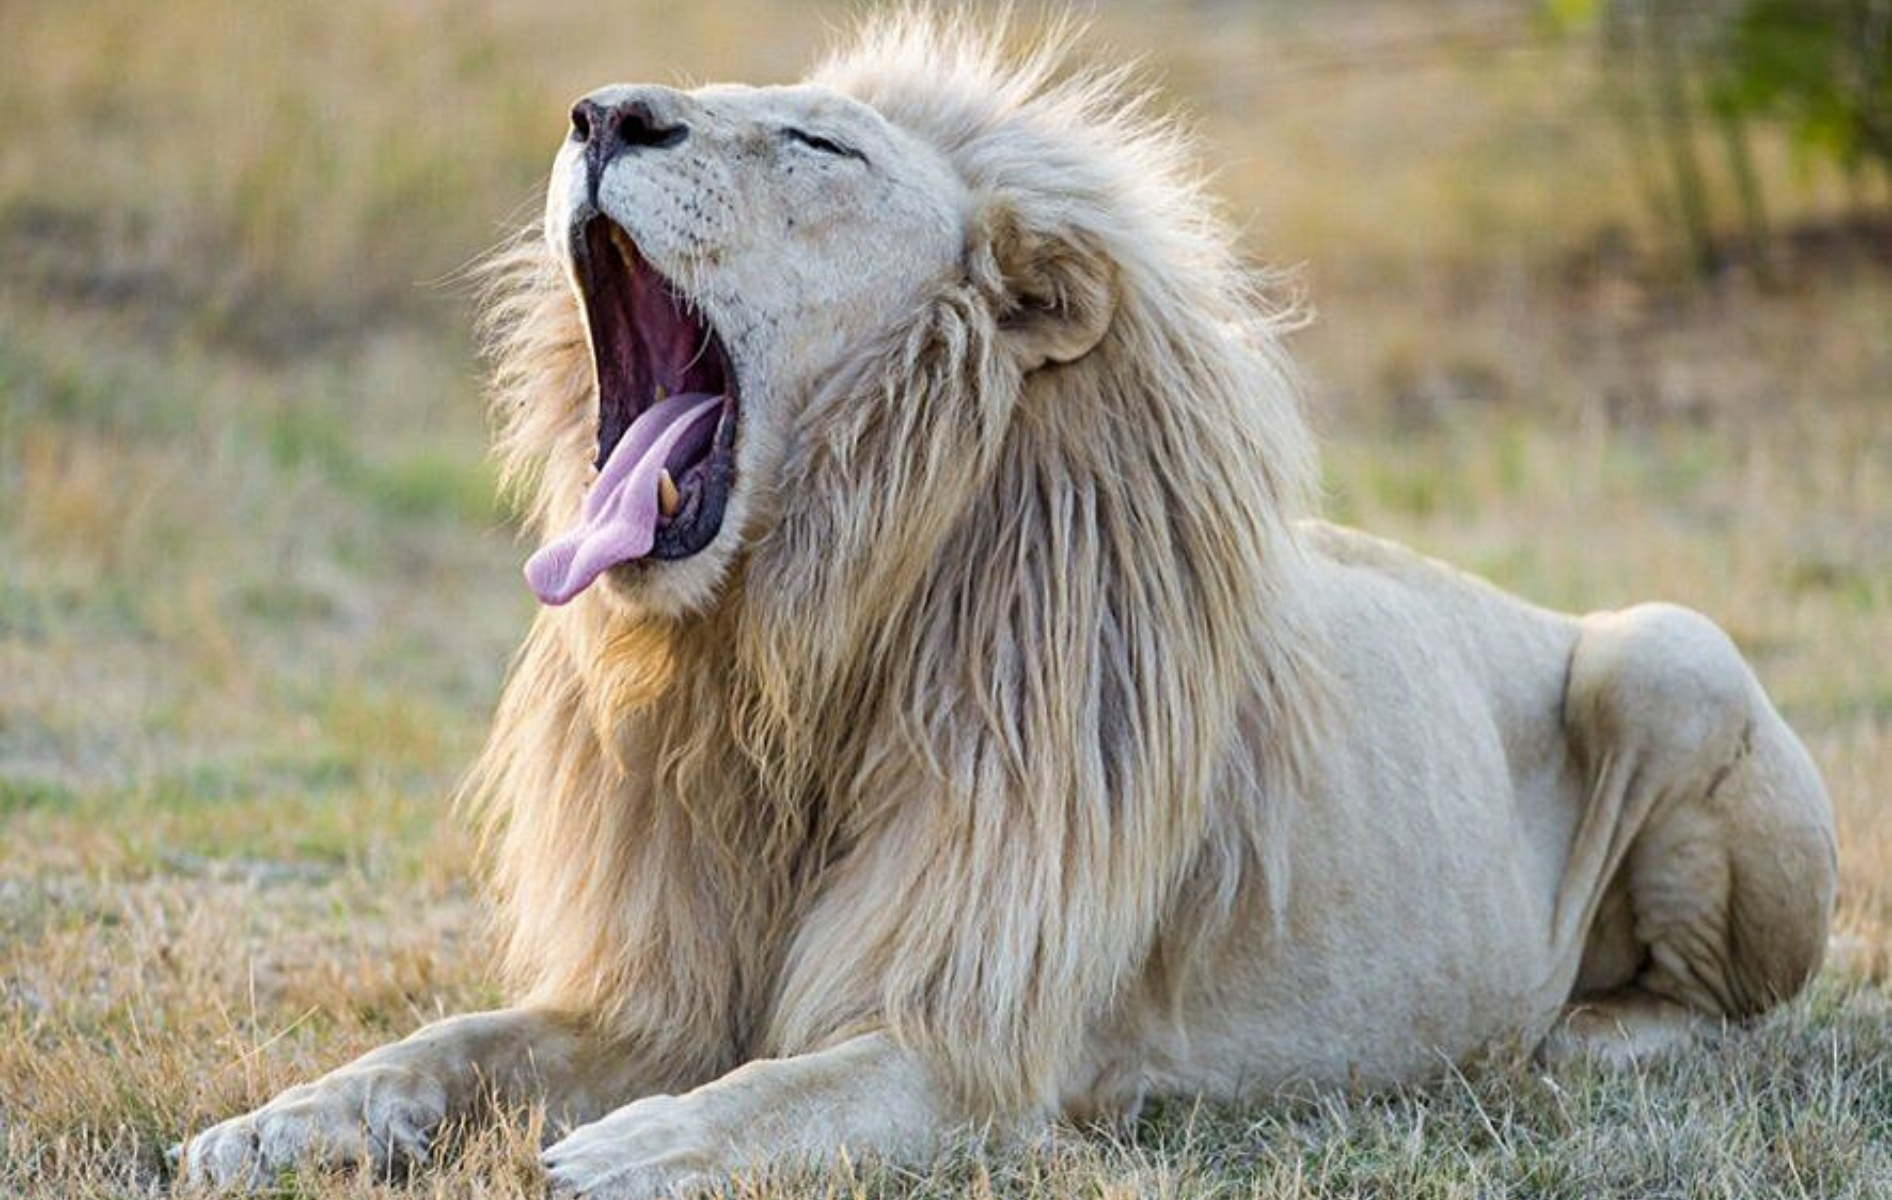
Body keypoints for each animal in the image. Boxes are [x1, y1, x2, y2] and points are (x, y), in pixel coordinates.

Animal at [180, 14, 1838, 1197]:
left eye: (816, 144)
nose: (600, 114)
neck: (798, 652)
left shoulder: (973, 1036)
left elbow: (786, 1092)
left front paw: (627, 1152)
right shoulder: (655, 992)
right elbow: (453, 1042)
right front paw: (271, 1127)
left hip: (1671, 650)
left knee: (1726, 1017)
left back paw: (1571, 1039)